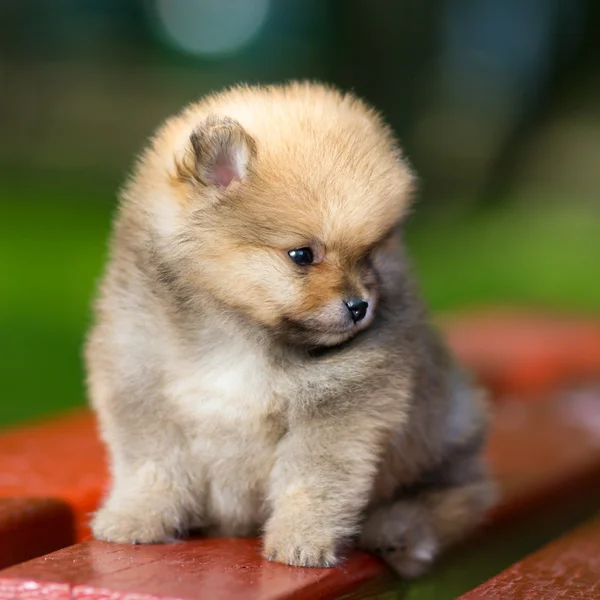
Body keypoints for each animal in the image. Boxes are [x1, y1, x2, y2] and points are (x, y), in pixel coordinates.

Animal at [85, 81, 496, 576]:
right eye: (302, 255)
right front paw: (135, 518)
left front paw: (302, 542)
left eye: (370, 255)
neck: (237, 334)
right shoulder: (139, 379)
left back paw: (398, 532)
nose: (360, 305)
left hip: (445, 436)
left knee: (454, 498)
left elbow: (313, 484)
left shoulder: (341, 409)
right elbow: (153, 466)